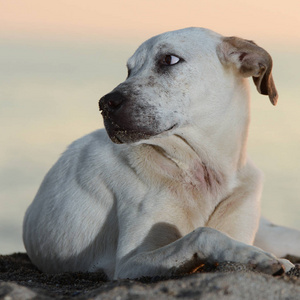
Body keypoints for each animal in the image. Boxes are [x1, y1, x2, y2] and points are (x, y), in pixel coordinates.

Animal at [21, 27, 300, 278]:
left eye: (169, 59)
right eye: (129, 70)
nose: (105, 104)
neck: (204, 170)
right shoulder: (129, 263)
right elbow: (204, 234)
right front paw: (259, 257)